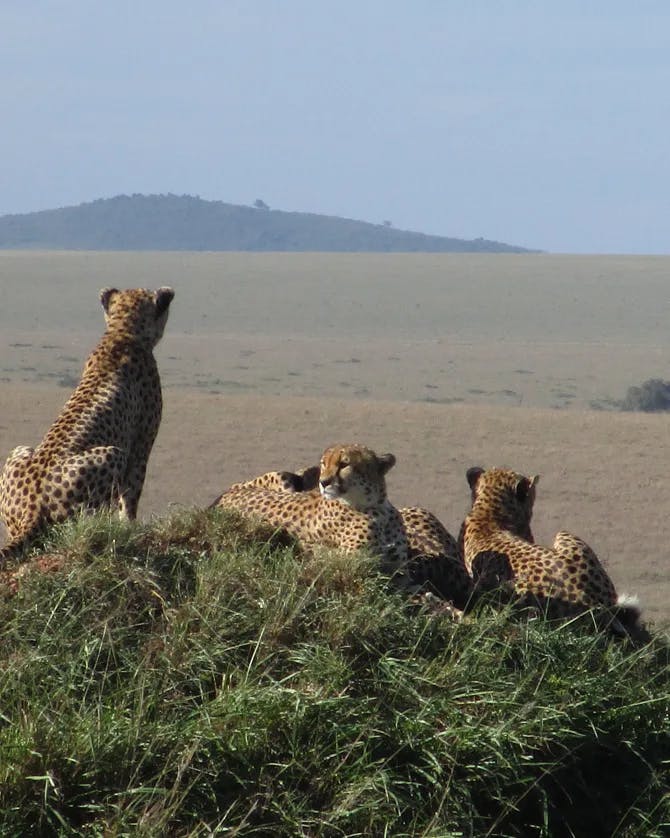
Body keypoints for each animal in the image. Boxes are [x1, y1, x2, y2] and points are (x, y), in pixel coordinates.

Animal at [0, 288, 176, 556]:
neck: (122, 332)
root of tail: (30, 508)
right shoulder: (139, 447)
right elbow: (131, 496)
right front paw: (131, 528)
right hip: (114, 454)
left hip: (19, 450)